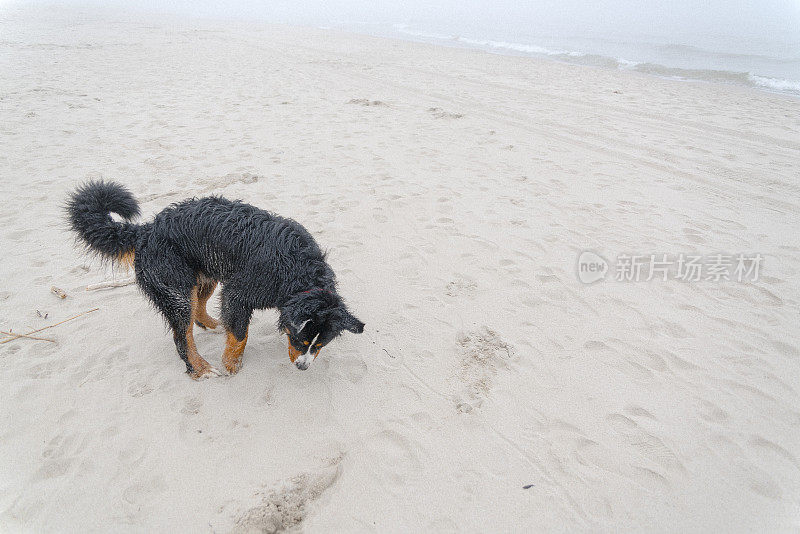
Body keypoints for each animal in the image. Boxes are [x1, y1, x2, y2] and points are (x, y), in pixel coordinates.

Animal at [66, 183, 366, 382]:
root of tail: (147, 230)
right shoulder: (239, 293)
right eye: (301, 340)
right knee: (182, 336)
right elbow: (241, 335)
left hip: (207, 275)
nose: (303, 367)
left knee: (198, 309)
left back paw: (213, 325)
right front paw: (231, 363)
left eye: (320, 345)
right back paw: (199, 368)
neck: (297, 273)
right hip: (176, 289)